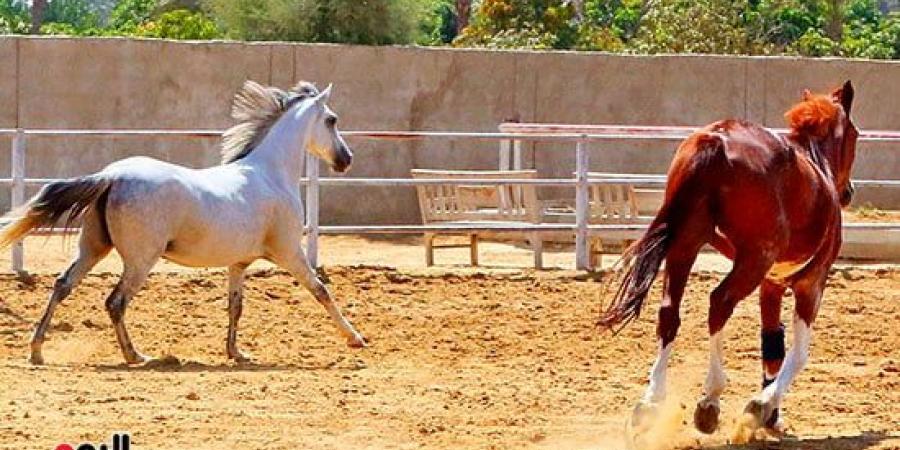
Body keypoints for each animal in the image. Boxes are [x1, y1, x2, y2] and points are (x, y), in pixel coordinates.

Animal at [0, 79, 366, 364]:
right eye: (332, 120)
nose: (346, 160)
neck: (271, 174)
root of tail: (112, 176)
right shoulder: (289, 252)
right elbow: (321, 290)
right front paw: (356, 338)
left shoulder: (239, 263)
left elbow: (235, 306)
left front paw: (236, 353)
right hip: (140, 260)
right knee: (115, 302)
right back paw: (136, 356)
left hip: (93, 247)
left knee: (62, 285)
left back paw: (36, 351)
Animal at [596, 81, 856, 440]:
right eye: (855, 135)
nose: (848, 193)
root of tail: (716, 141)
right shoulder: (811, 282)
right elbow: (799, 354)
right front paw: (761, 406)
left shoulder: (771, 285)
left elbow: (773, 347)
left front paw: (771, 417)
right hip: (752, 260)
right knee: (719, 302)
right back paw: (710, 400)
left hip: (685, 245)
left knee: (669, 314)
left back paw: (650, 402)